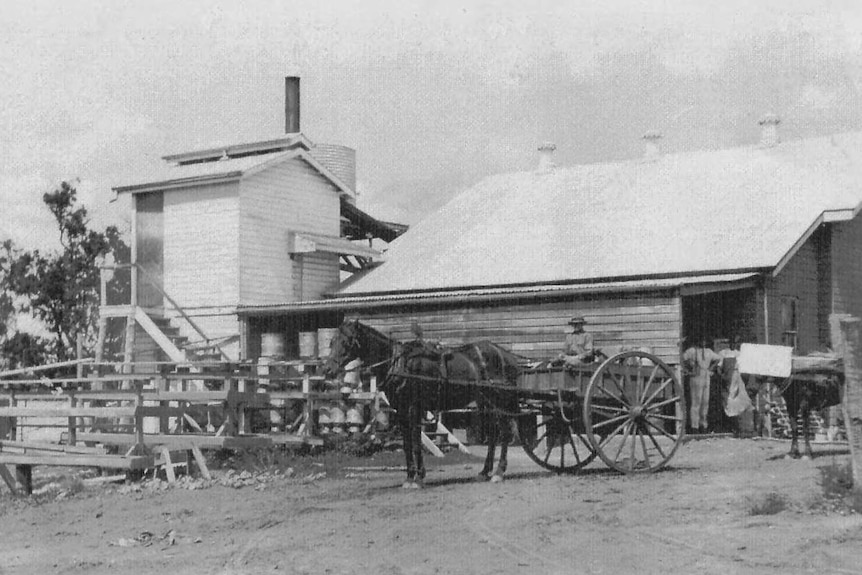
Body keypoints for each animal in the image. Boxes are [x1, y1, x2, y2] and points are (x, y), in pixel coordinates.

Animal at [388, 338, 524, 490]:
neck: (403, 363)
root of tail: (506, 355)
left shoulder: (414, 409)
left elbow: (416, 443)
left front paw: (418, 478)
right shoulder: (401, 412)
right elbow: (407, 445)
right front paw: (409, 478)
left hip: (499, 402)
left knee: (505, 433)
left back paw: (499, 472)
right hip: (486, 403)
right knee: (493, 435)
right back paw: (484, 472)